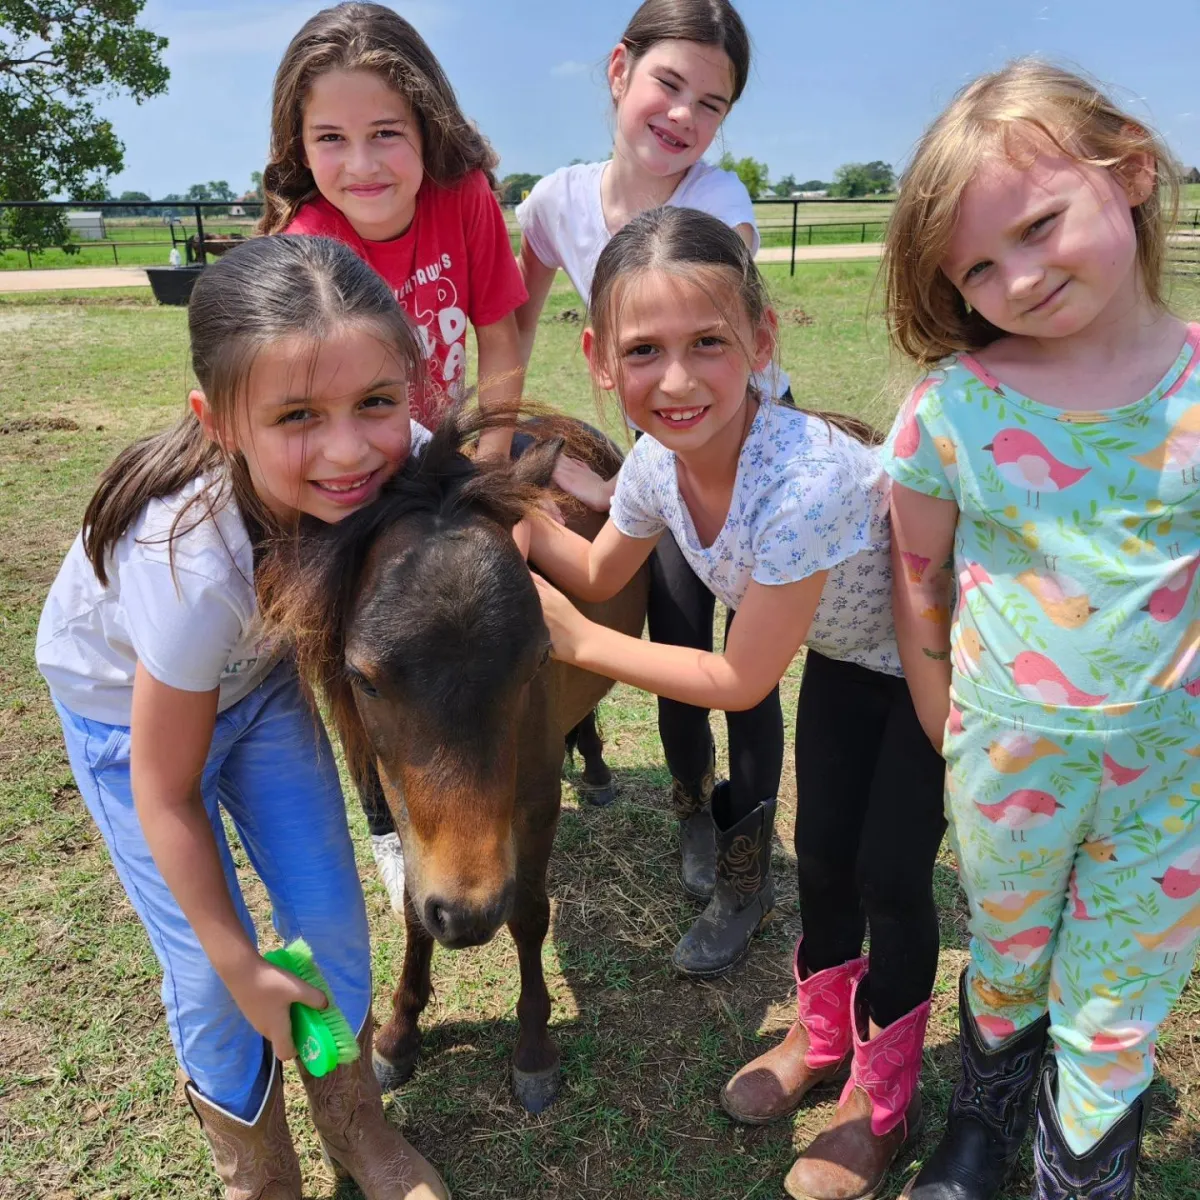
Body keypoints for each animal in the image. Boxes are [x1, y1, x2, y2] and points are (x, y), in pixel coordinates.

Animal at [265, 412, 648, 1113]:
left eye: (538, 659)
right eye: (363, 680)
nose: (469, 915)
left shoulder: (535, 805)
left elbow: (529, 914)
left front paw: (534, 1050)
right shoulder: (403, 810)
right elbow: (417, 911)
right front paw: (398, 1036)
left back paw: (597, 769)